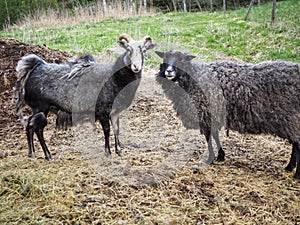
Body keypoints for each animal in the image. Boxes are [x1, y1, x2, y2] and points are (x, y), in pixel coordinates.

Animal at [15, 33, 156, 160]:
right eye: (128, 49)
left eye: (143, 50)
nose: (136, 67)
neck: (115, 77)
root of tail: (34, 69)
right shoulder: (103, 110)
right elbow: (107, 130)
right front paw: (108, 153)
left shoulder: (115, 112)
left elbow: (116, 129)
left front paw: (119, 151)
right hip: (40, 107)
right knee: (36, 128)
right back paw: (46, 155)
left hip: (39, 109)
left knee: (31, 126)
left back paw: (34, 154)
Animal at [156, 50, 300, 178]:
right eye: (165, 58)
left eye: (181, 60)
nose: (169, 71)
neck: (193, 78)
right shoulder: (213, 115)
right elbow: (215, 135)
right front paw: (221, 156)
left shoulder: (205, 114)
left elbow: (209, 137)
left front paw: (210, 158)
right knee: (295, 143)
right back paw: (289, 167)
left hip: (291, 119)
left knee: (297, 144)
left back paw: (296, 174)